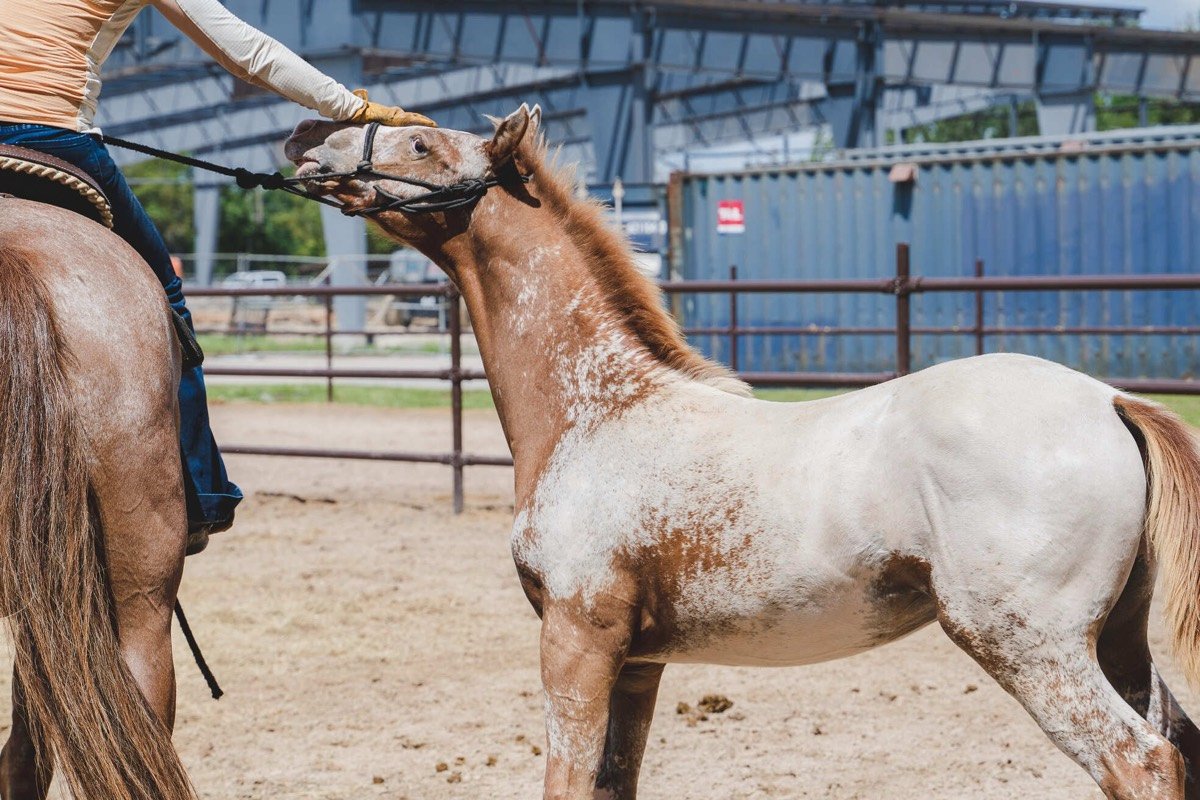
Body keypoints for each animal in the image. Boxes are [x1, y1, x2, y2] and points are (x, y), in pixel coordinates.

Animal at [286, 105, 1200, 800]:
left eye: (422, 147)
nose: (308, 142)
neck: (599, 408)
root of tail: (1108, 402)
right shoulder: (639, 663)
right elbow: (613, 784)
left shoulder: (577, 640)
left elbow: (567, 782)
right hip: (1115, 637)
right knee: (1179, 741)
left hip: (1028, 644)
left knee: (1142, 761)